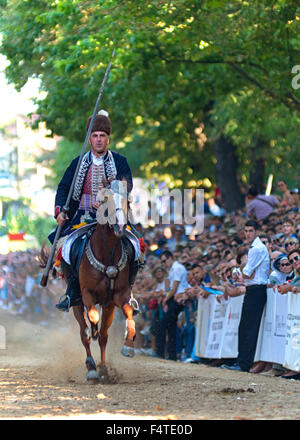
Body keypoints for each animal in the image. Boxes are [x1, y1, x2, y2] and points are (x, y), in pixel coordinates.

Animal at [71, 180, 137, 384]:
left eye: (126, 200)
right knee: (83, 333)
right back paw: (92, 368)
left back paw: (102, 368)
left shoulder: (118, 296)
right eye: (106, 199)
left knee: (104, 337)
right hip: (76, 302)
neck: (106, 254)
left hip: (108, 306)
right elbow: (92, 317)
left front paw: (128, 345)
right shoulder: (86, 293)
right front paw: (92, 329)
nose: (120, 227)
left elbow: (129, 312)